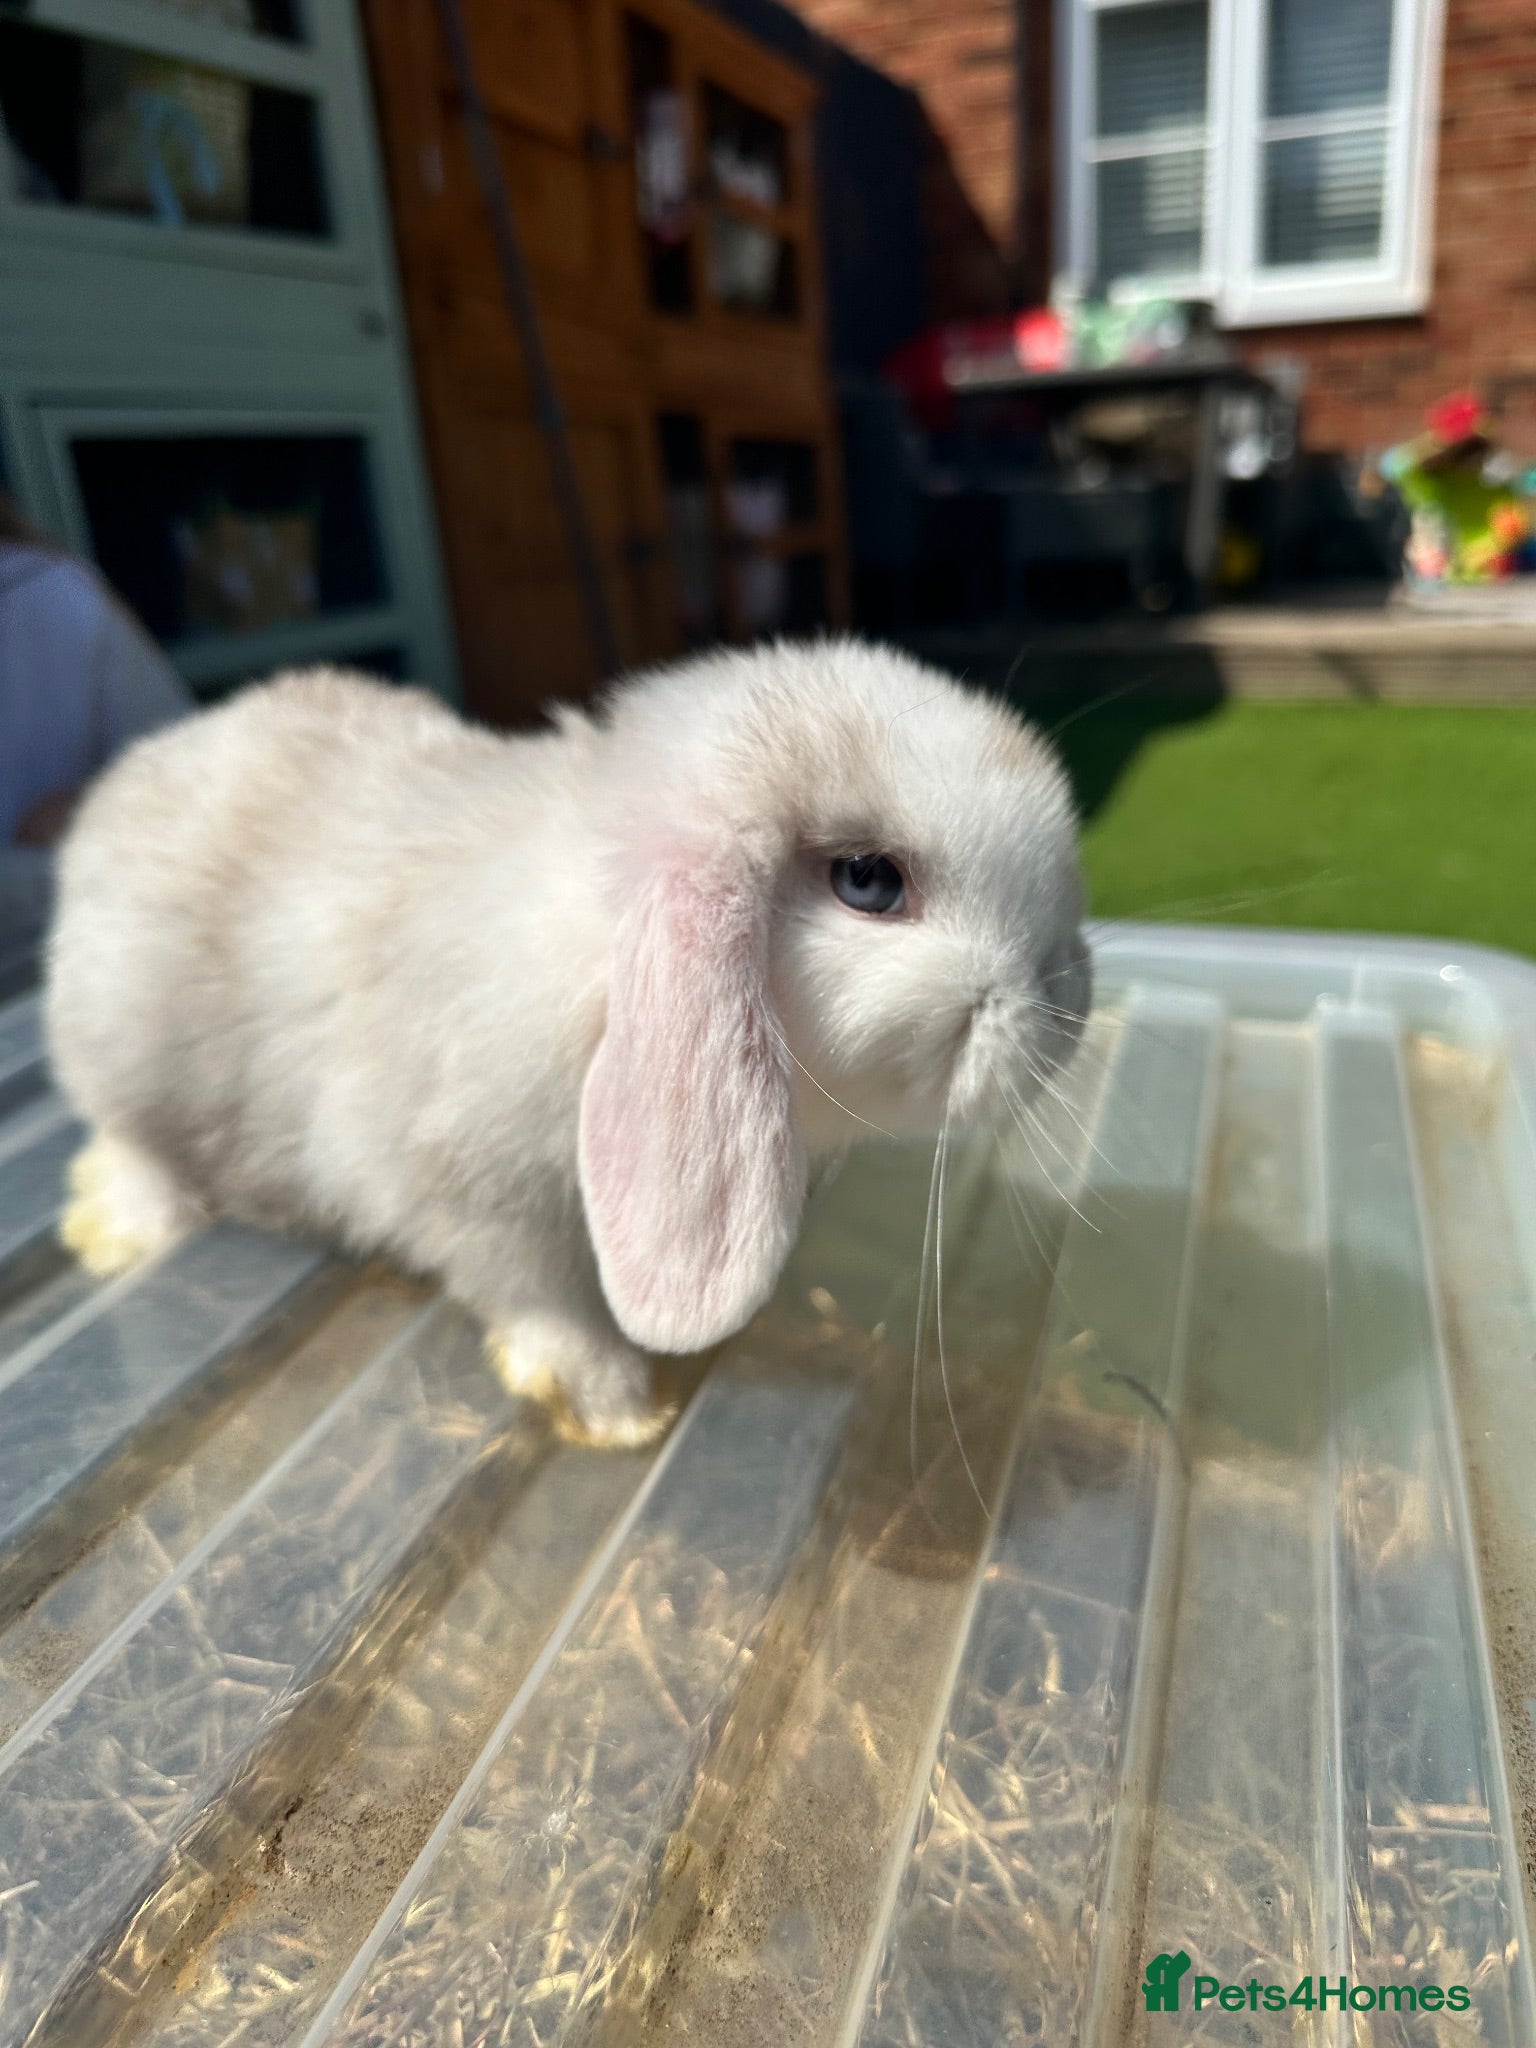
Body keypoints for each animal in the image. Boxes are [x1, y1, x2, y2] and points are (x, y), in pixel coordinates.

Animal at [45, 640, 1091, 1445]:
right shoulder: (460, 1179)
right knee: (130, 1140)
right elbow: (535, 1289)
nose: (1069, 994)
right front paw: (614, 1408)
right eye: (868, 880)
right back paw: (123, 1231)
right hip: (118, 1046)